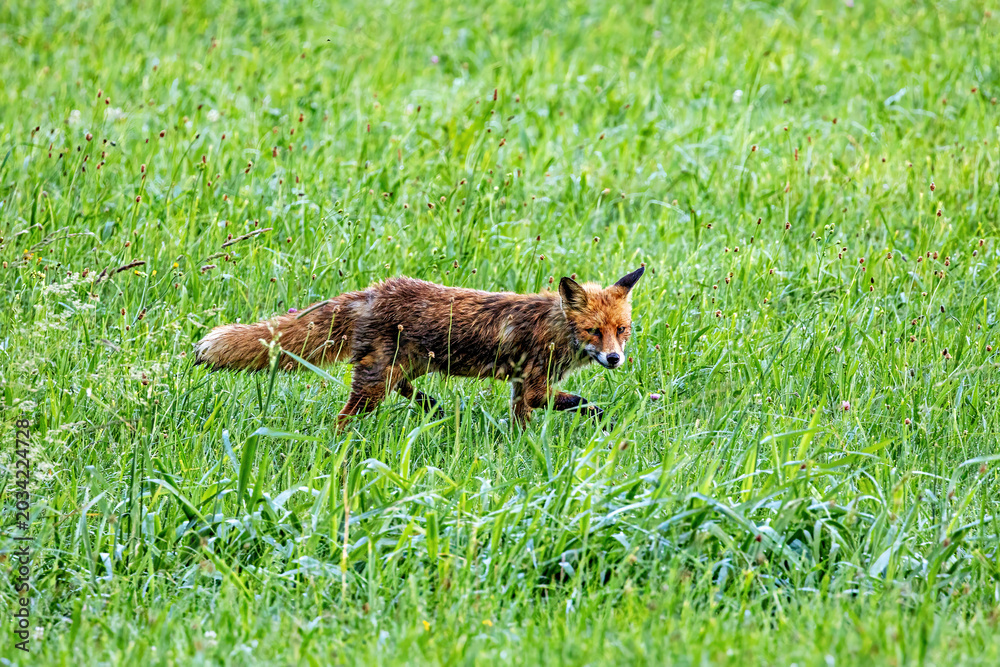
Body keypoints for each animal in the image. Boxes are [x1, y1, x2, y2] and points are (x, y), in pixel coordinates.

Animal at [194, 266, 645, 429]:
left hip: (406, 367)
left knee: (404, 388)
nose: (614, 359)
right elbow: (580, 401)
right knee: (344, 417)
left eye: (622, 330)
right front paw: (599, 415)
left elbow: (522, 422)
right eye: (593, 331)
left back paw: (434, 407)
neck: (557, 329)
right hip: (375, 383)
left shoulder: (522, 389)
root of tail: (373, 292)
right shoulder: (536, 384)